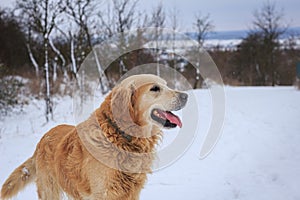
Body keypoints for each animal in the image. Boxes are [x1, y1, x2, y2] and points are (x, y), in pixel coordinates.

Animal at [0, 74, 188, 199]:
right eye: (155, 88)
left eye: (166, 85)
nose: (186, 95)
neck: (120, 137)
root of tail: (42, 139)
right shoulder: (103, 193)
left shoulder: (131, 192)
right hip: (50, 190)